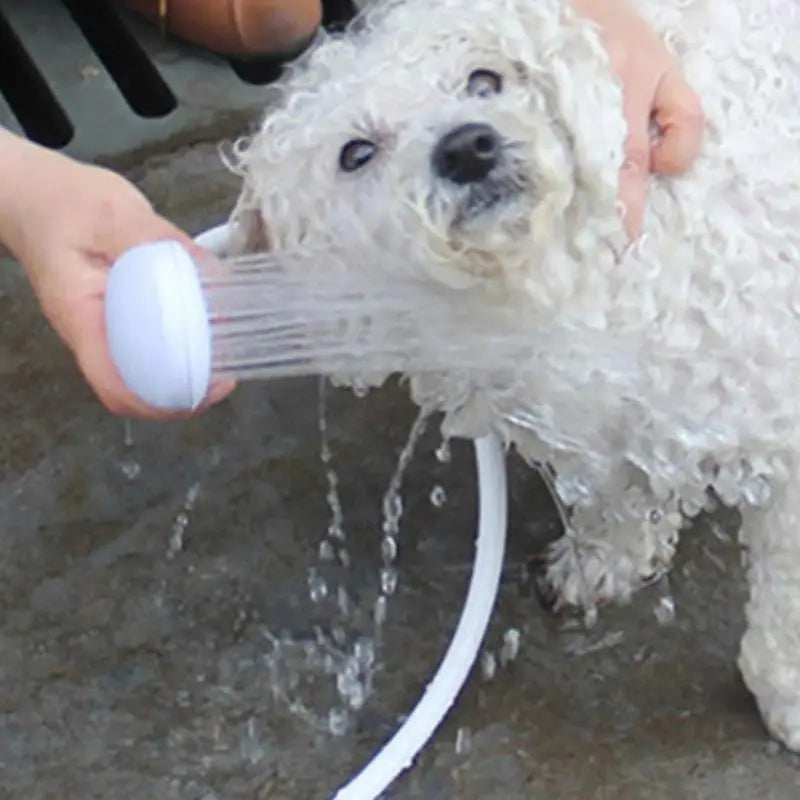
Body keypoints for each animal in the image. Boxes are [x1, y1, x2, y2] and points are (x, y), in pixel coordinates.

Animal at [225, 0, 800, 752]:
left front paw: (787, 693)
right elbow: (622, 493)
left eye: (484, 79)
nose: (469, 146)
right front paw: (606, 557)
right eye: (355, 153)